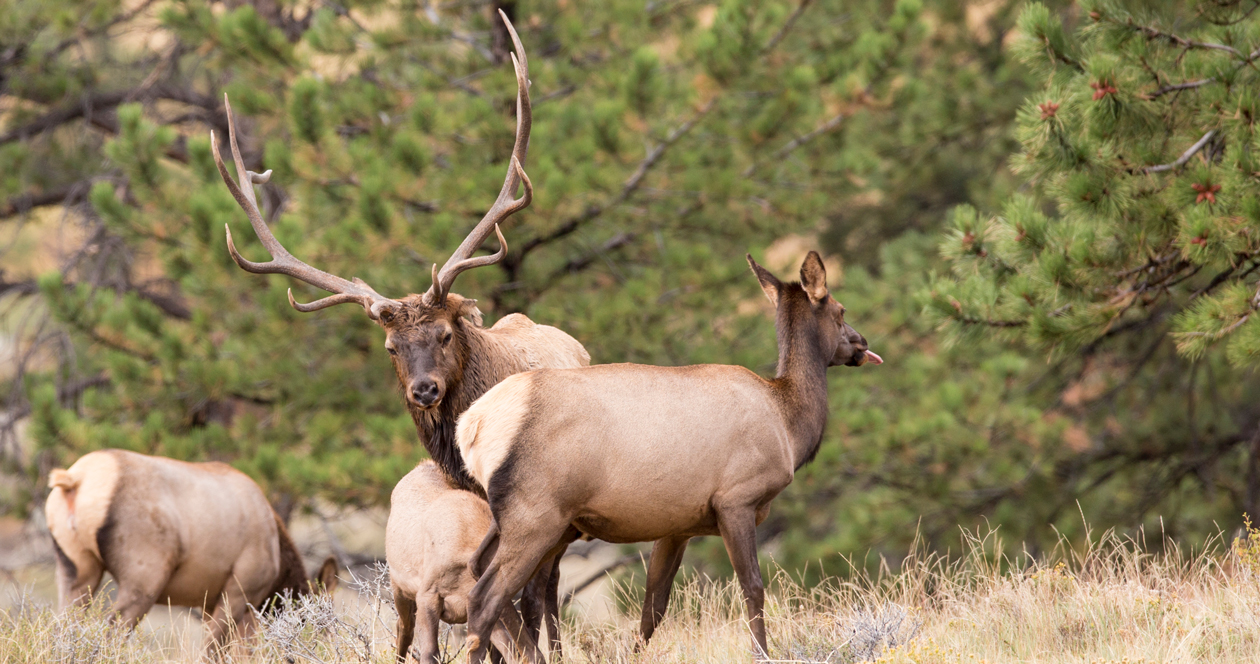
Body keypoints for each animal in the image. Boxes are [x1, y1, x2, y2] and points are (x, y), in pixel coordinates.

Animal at [47, 446, 337, 655]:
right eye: (321, 627)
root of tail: (74, 480)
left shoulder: (210, 602)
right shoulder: (241, 591)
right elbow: (220, 651)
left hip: (76, 570)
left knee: (62, 629)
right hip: (145, 579)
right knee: (112, 633)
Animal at [456, 251, 887, 660]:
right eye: (840, 310)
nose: (863, 343)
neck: (788, 424)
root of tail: (471, 425)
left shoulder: (677, 523)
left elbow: (654, 607)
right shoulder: (736, 499)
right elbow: (753, 587)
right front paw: (763, 653)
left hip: (519, 514)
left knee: (478, 570)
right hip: (536, 513)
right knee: (484, 597)